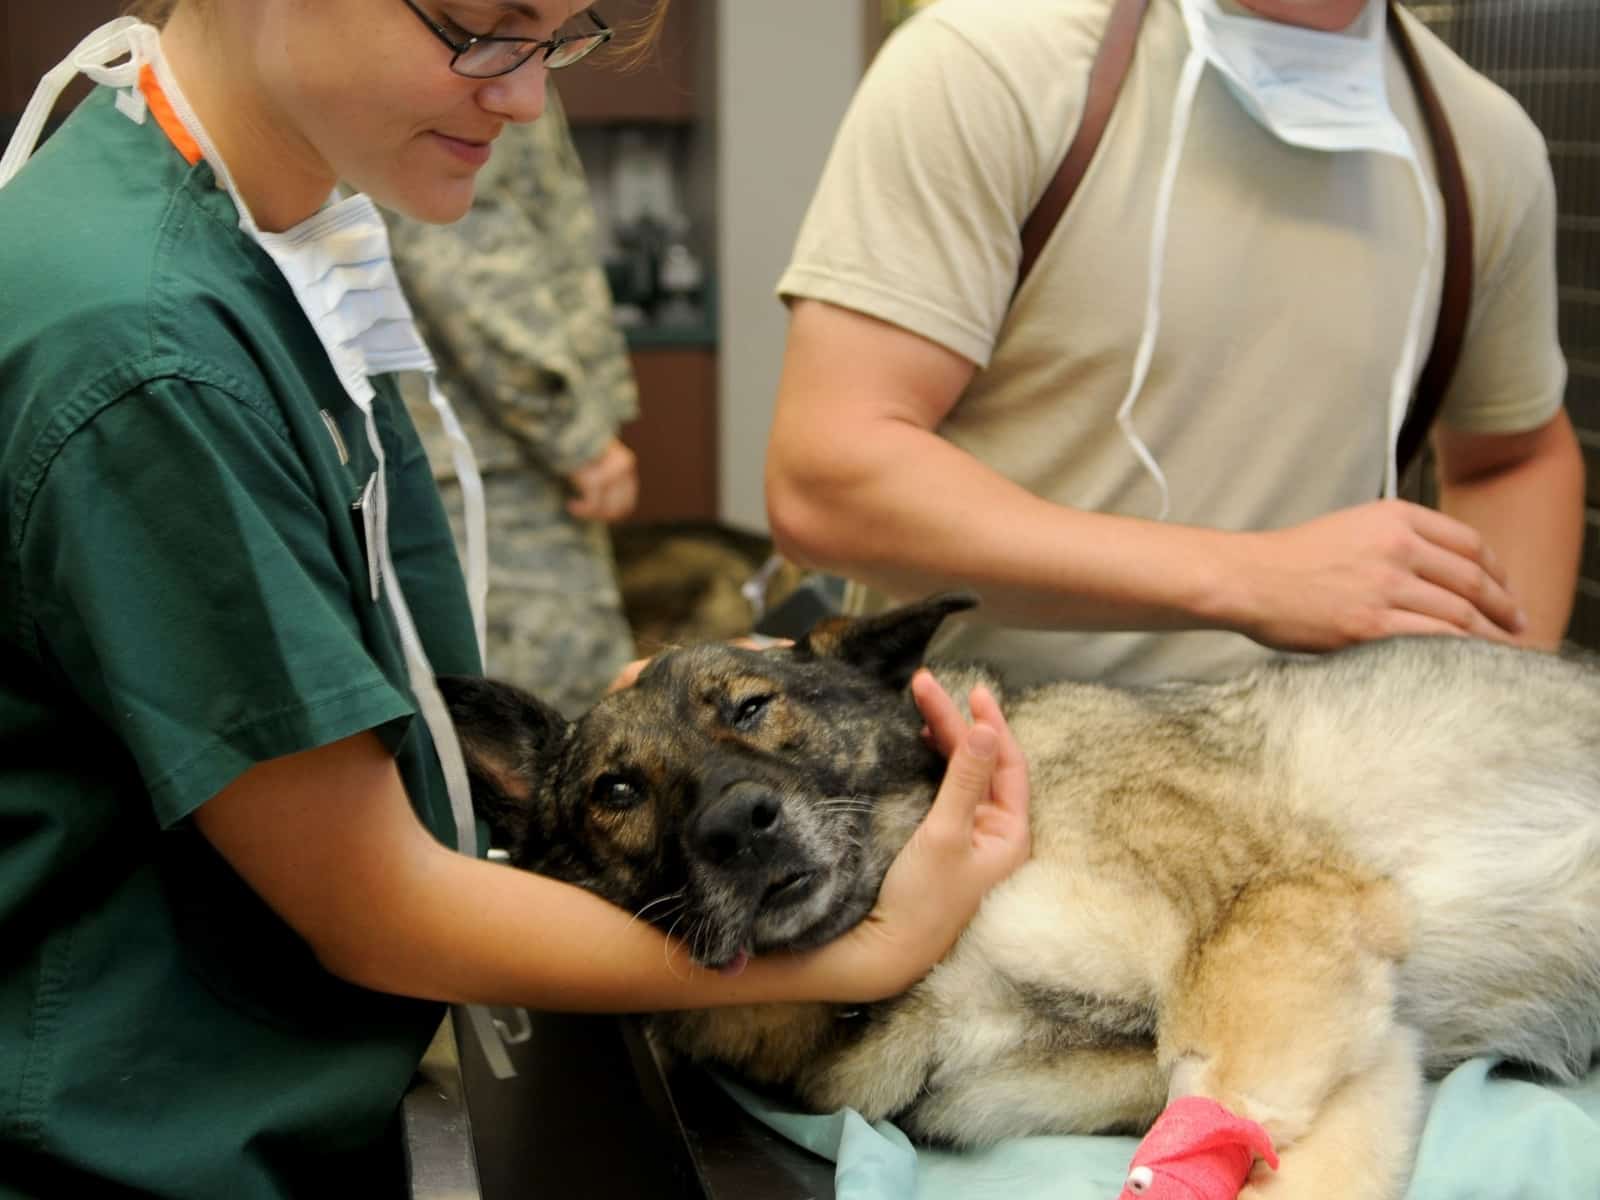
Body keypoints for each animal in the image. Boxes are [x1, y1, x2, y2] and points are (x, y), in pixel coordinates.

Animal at [438, 598, 1600, 1196]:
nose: (736, 825)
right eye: (616, 791)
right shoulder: (1355, 1044)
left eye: (754, 706)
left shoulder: (1275, 926)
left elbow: (1219, 1108)